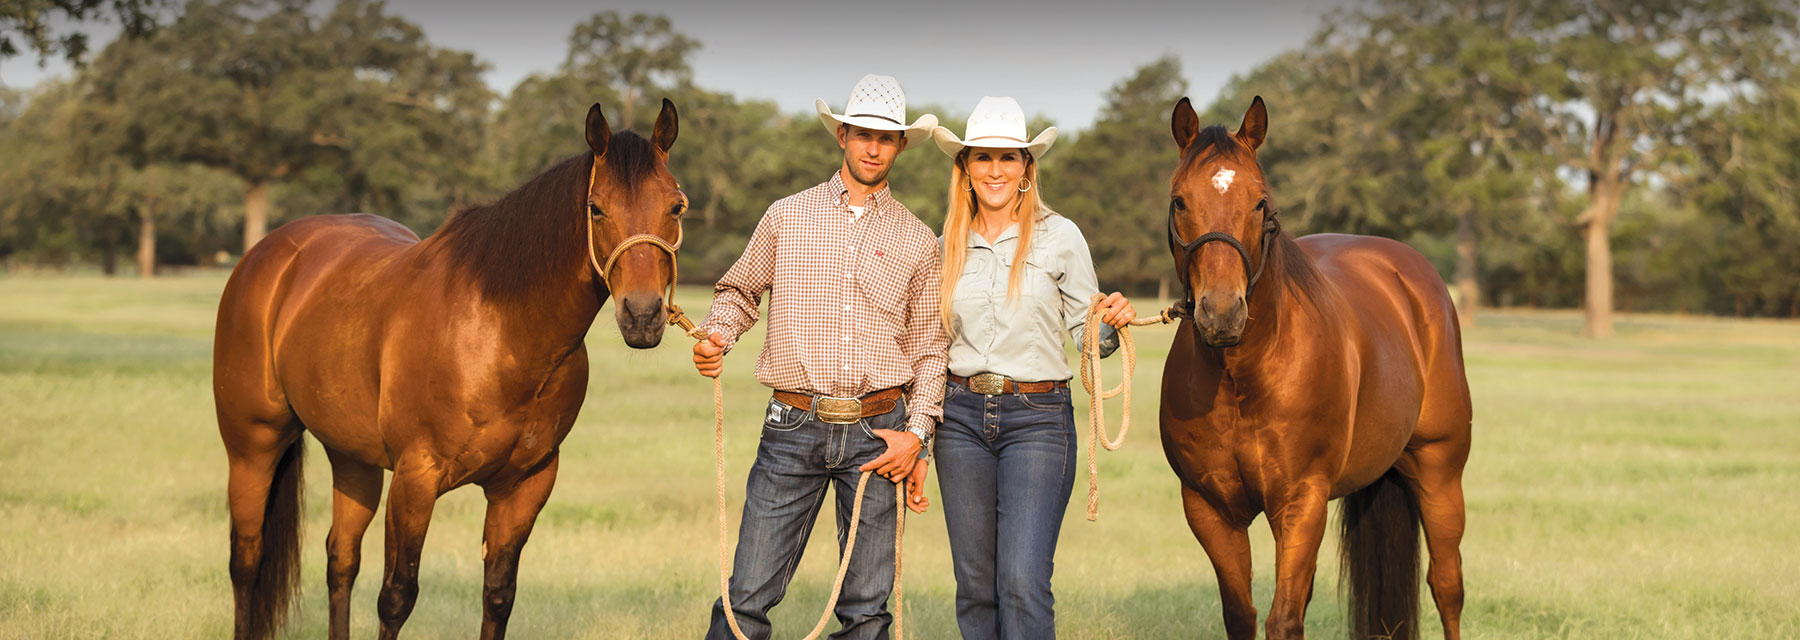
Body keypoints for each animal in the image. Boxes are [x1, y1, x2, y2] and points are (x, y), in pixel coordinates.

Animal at [212, 99, 687, 640]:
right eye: (596, 208)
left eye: (676, 206)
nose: (643, 315)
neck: (503, 333)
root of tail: (268, 256)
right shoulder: (416, 480)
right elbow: (396, 597)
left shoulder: (524, 486)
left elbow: (498, 595)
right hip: (253, 447)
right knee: (247, 560)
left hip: (351, 457)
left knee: (341, 559)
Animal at [1159, 96, 1468, 640]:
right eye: (1180, 201)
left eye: (1260, 202)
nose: (1223, 313)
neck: (1243, 378)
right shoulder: (1209, 508)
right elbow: (1242, 614)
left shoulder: (1300, 502)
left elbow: (1284, 621)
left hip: (1440, 471)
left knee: (1447, 585)